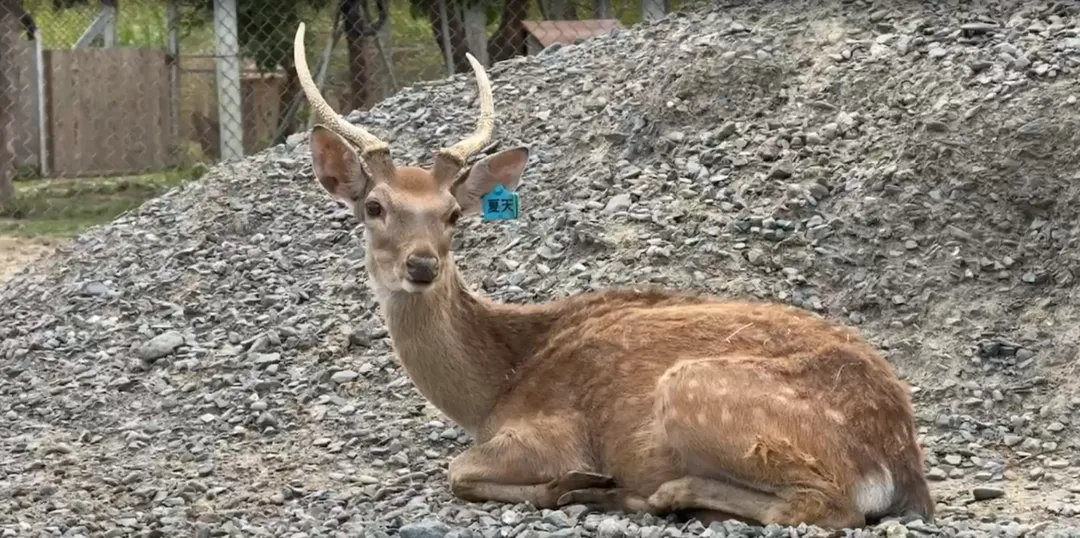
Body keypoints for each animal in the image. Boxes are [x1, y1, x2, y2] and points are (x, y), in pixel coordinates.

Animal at [292, 22, 934, 529]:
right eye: (374, 206)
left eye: (451, 214)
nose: (422, 264)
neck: (493, 389)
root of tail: (901, 465)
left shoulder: (549, 433)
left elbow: (457, 470)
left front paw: (573, 484)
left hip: (698, 391)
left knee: (823, 505)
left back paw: (651, 493)